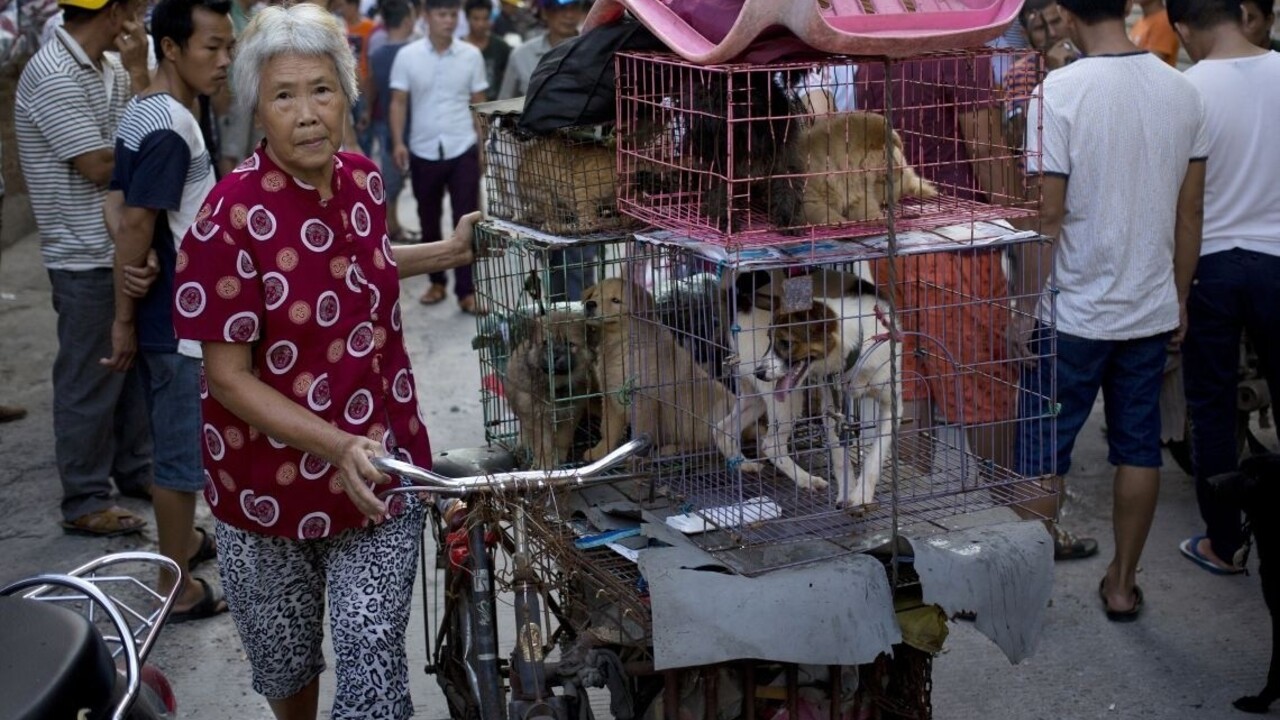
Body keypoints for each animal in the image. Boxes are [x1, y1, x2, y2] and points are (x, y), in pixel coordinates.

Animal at [501, 310, 596, 468]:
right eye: (545, 343)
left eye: (570, 344)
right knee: (523, 429)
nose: (554, 356)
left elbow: (563, 439)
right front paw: (545, 465)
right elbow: (543, 444)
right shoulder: (535, 416)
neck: (555, 386)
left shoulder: (571, 414)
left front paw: (559, 458)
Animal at [583, 274, 737, 458]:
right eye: (595, 295)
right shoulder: (611, 396)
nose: (590, 304)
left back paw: (671, 449)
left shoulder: (644, 398)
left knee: (708, 444)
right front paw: (600, 453)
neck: (619, 344)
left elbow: (640, 433)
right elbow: (608, 430)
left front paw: (634, 456)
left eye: (615, 300)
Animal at [798, 110, 942, 224]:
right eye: (891, 157)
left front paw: (878, 218)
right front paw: (836, 220)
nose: (901, 171)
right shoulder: (809, 200)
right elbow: (823, 212)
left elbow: (867, 209)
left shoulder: (859, 197)